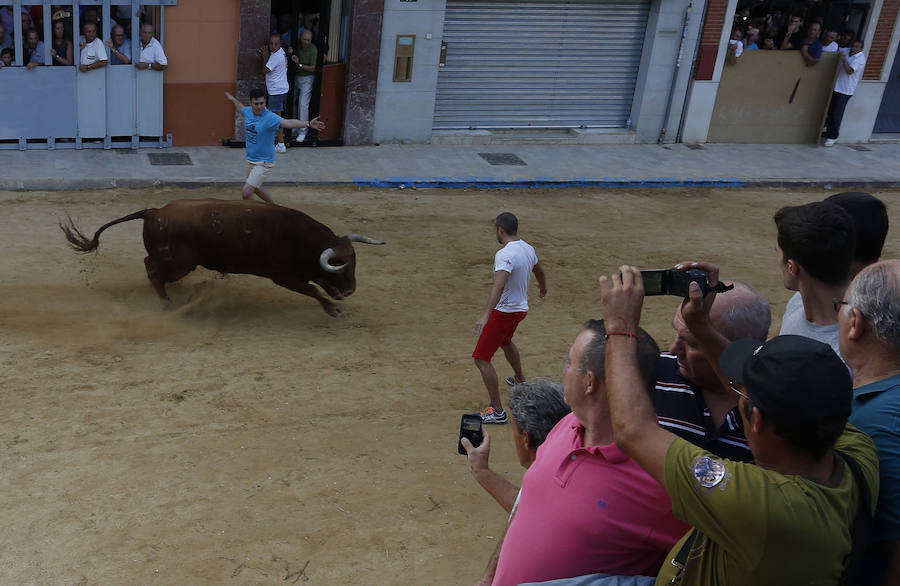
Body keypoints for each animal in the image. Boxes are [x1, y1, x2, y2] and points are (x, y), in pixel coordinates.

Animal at [59, 197, 384, 318]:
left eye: (354, 263)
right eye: (339, 267)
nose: (350, 291)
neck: (302, 240)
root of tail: (154, 211)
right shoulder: (283, 276)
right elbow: (313, 289)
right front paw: (333, 309)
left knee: (150, 267)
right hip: (180, 263)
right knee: (152, 269)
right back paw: (168, 305)